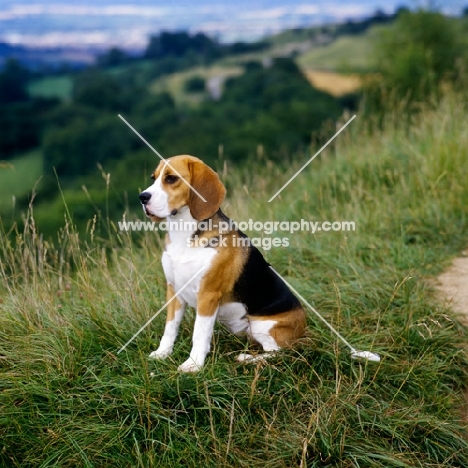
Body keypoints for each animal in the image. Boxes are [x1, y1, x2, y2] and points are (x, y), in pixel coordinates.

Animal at [139, 154, 308, 372]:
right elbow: (170, 327)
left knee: (279, 353)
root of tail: (303, 329)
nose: (142, 197)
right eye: (154, 178)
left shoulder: (208, 295)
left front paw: (193, 364)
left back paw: (247, 358)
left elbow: (199, 333)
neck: (183, 234)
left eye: (171, 178)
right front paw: (162, 353)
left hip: (263, 326)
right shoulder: (174, 290)